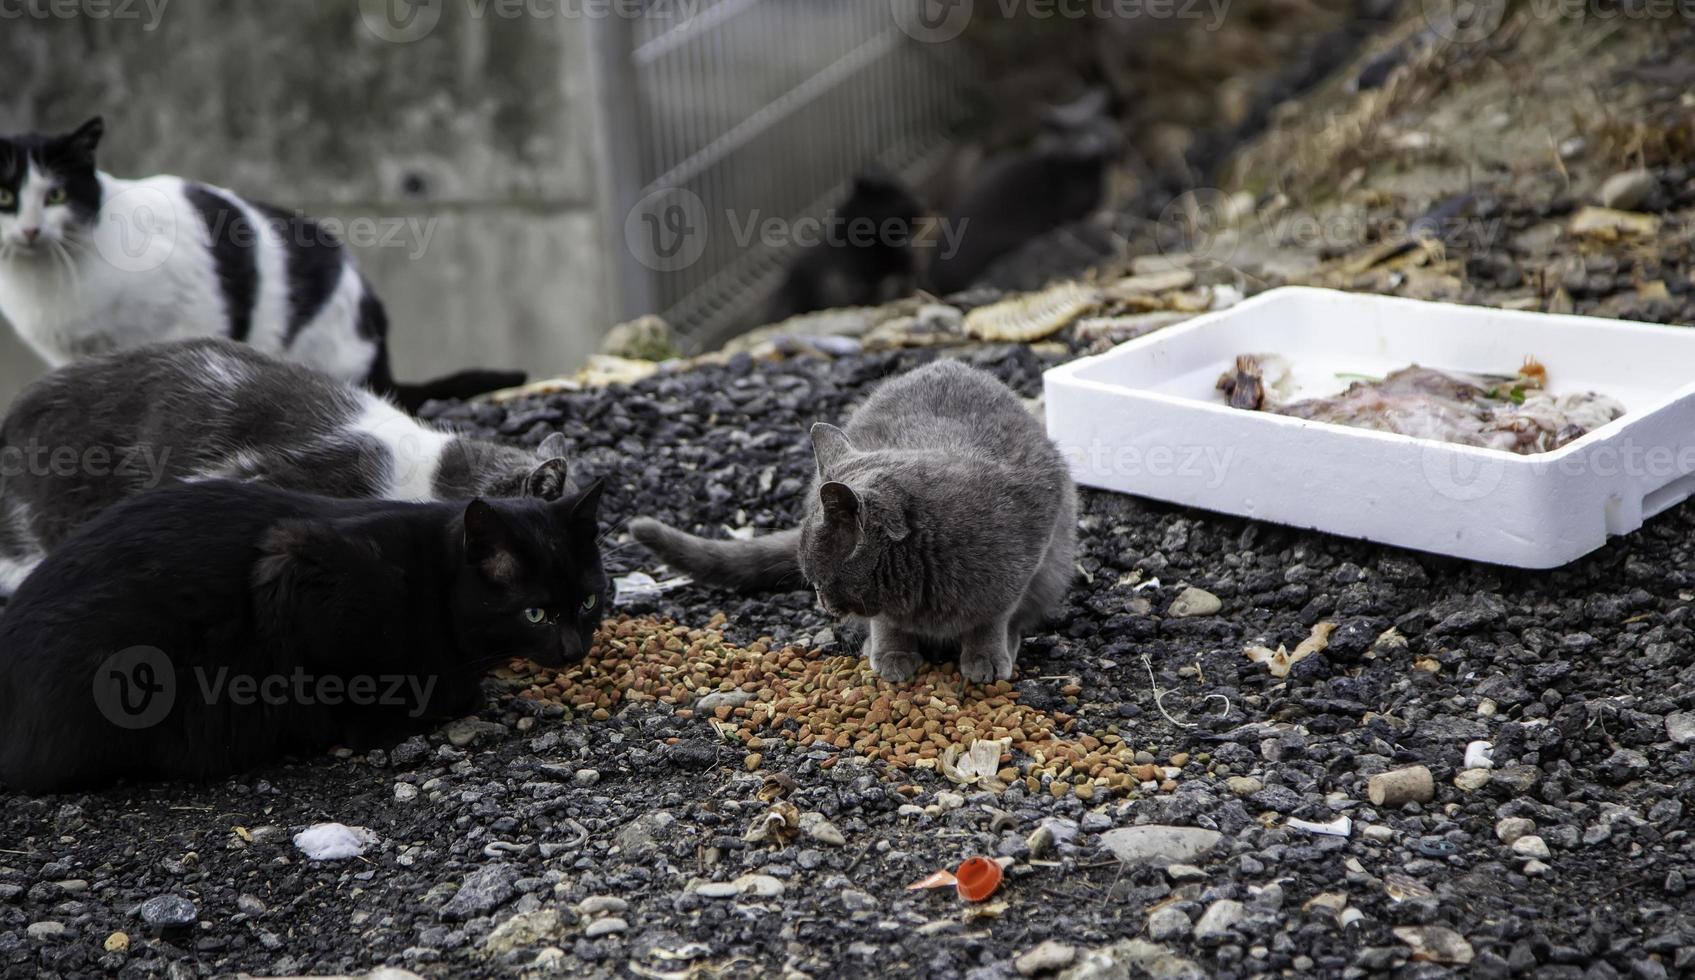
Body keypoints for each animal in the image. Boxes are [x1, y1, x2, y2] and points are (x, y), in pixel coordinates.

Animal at [630, 359, 1078, 678]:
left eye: (821, 580)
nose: (823, 605)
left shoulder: (1023, 560)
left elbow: (992, 617)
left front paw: (985, 656)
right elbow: (887, 622)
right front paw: (890, 654)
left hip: (1054, 566)